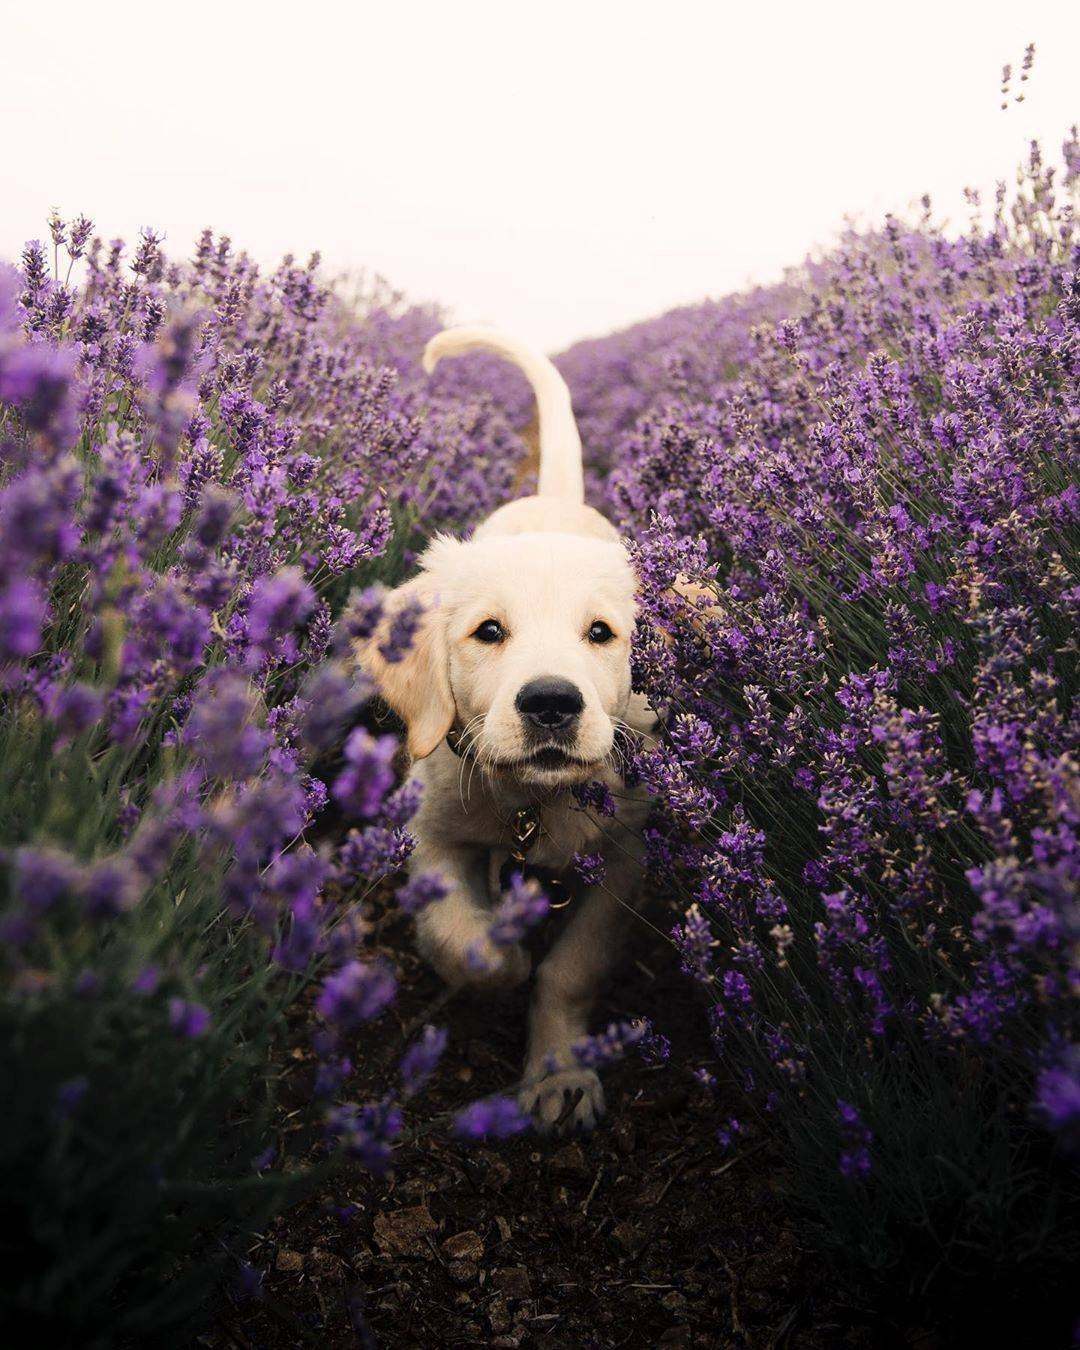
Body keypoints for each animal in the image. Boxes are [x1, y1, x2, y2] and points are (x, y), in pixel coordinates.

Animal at [361, 326, 650, 1128]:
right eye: (488, 631)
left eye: (601, 633)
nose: (551, 703)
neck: (532, 804)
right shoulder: (432, 834)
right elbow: (463, 942)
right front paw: (504, 946)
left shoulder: (626, 856)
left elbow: (571, 969)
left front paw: (559, 1072)